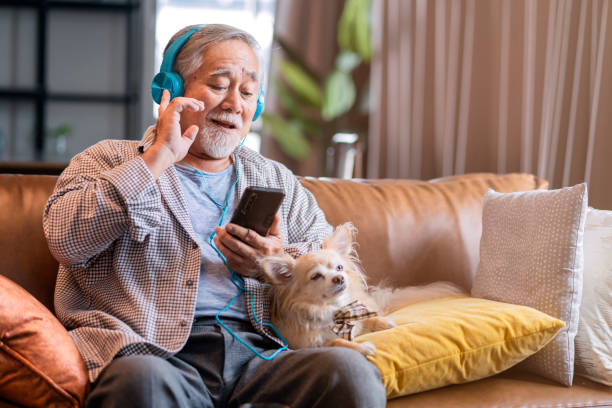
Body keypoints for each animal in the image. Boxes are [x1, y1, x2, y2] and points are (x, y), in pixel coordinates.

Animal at [258, 222, 464, 356]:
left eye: (339, 267)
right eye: (316, 276)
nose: (340, 278)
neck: (334, 310)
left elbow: (367, 318)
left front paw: (385, 322)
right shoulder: (307, 346)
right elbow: (337, 341)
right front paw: (363, 347)